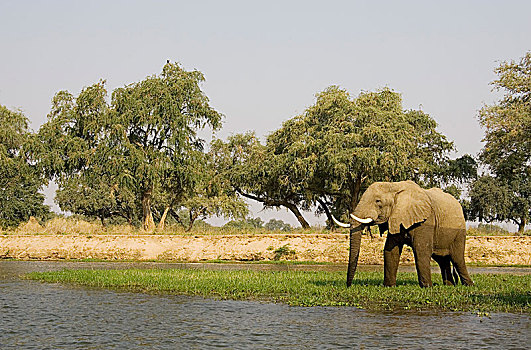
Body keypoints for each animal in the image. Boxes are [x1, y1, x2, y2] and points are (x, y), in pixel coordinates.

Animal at [332, 180, 474, 288]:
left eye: (378, 201)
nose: (348, 286)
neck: (394, 186)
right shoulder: (395, 218)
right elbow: (390, 250)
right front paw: (389, 286)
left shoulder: (426, 221)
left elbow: (421, 251)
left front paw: (427, 287)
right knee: (442, 260)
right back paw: (450, 285)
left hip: (459, 233)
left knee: (457, 258)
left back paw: (469, 285)